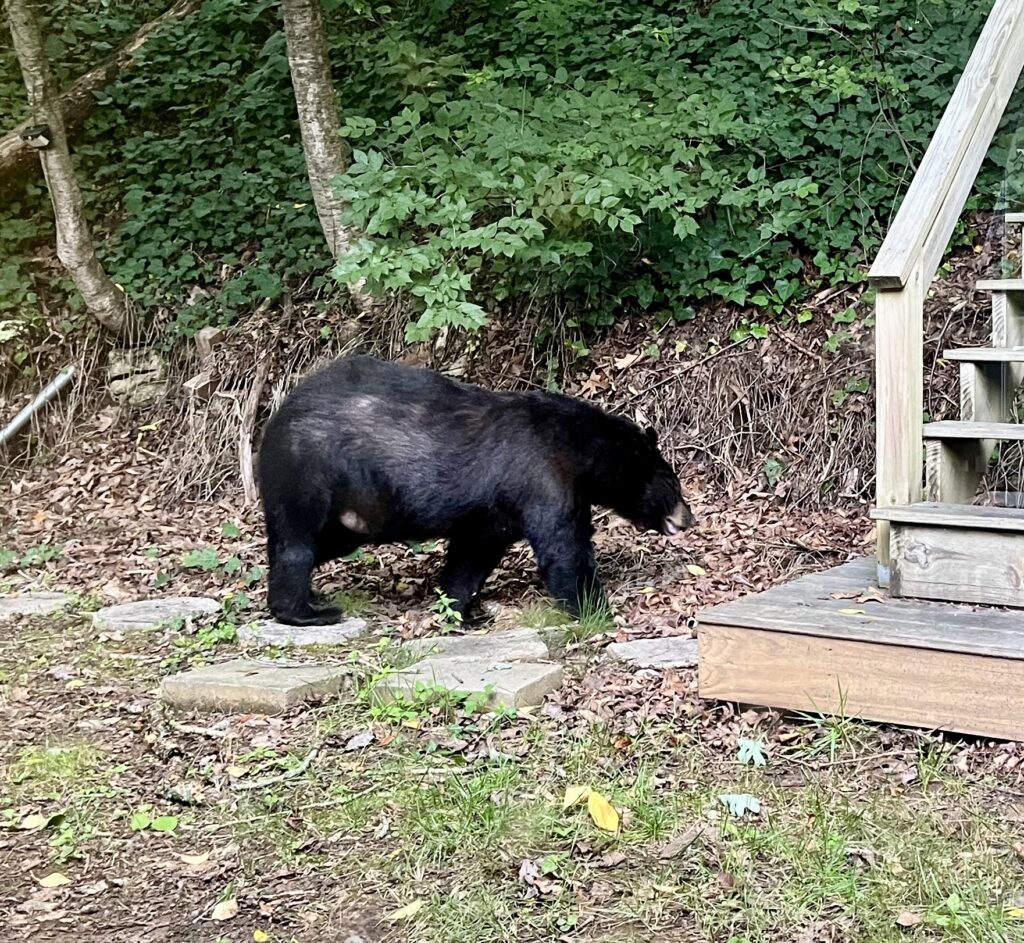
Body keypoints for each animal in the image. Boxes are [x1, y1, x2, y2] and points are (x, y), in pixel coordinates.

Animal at [257, 355, 693, 626]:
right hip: (308, 468)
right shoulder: (541, 476)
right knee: (296, 542)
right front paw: (596, 610)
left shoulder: (494, 510)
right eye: (672, 481)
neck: (579, 448)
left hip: (353, 513)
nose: (688, 518)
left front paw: (460, 610)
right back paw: (305, 611)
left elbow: (473, 554)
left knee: (319, 542)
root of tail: (277, 415)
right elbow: (564, 547)